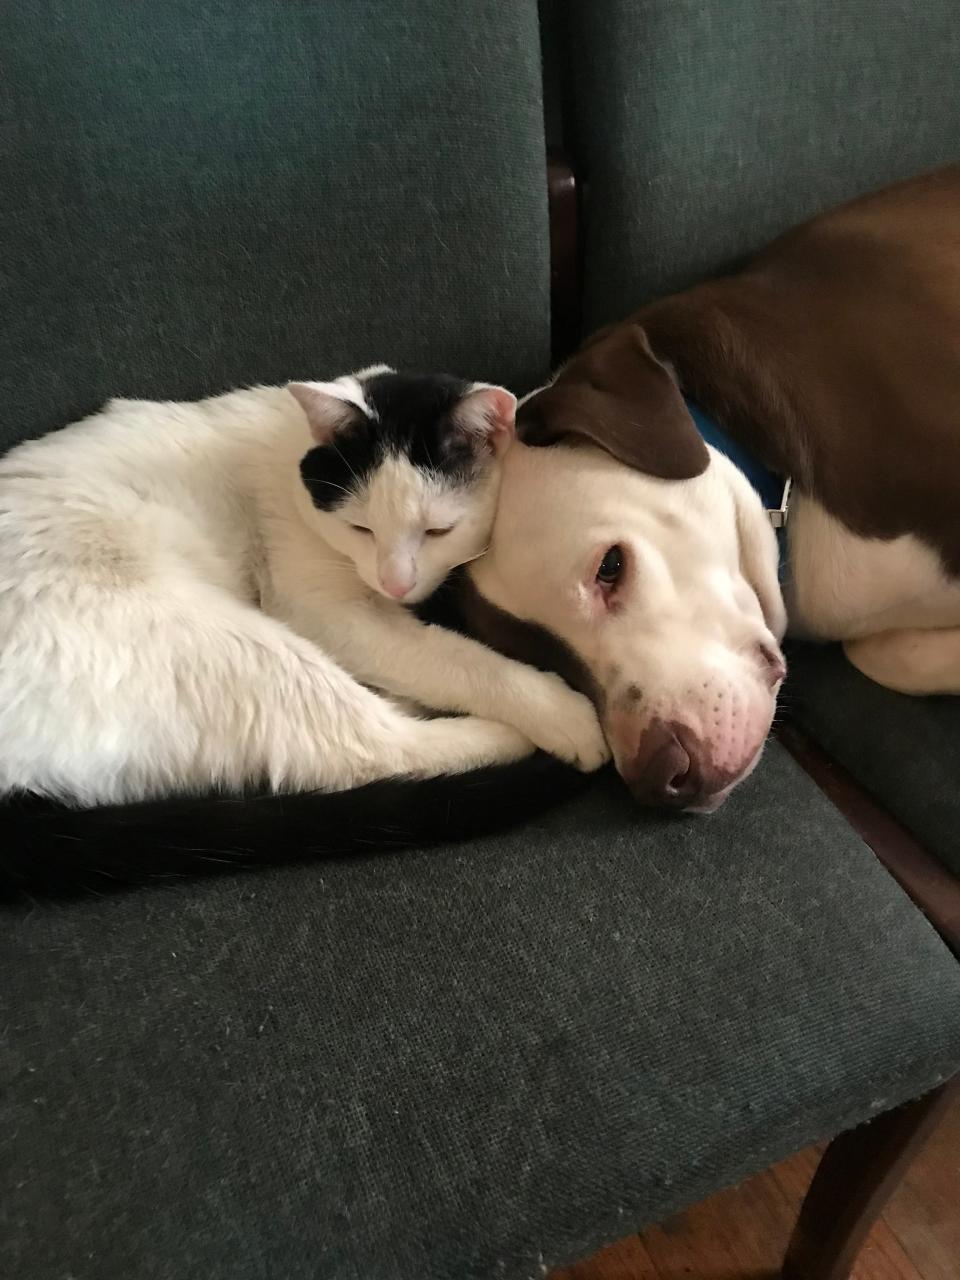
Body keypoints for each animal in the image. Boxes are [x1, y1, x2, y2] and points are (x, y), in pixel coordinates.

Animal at [0, 366, 609, 896]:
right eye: (360, 528)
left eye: (439, 530)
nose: (395, 583)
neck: (288, 456)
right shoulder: (326, 611)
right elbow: (456, 660)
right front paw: (555, 709)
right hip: (234, 645)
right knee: (371, 751)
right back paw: (511, 736)